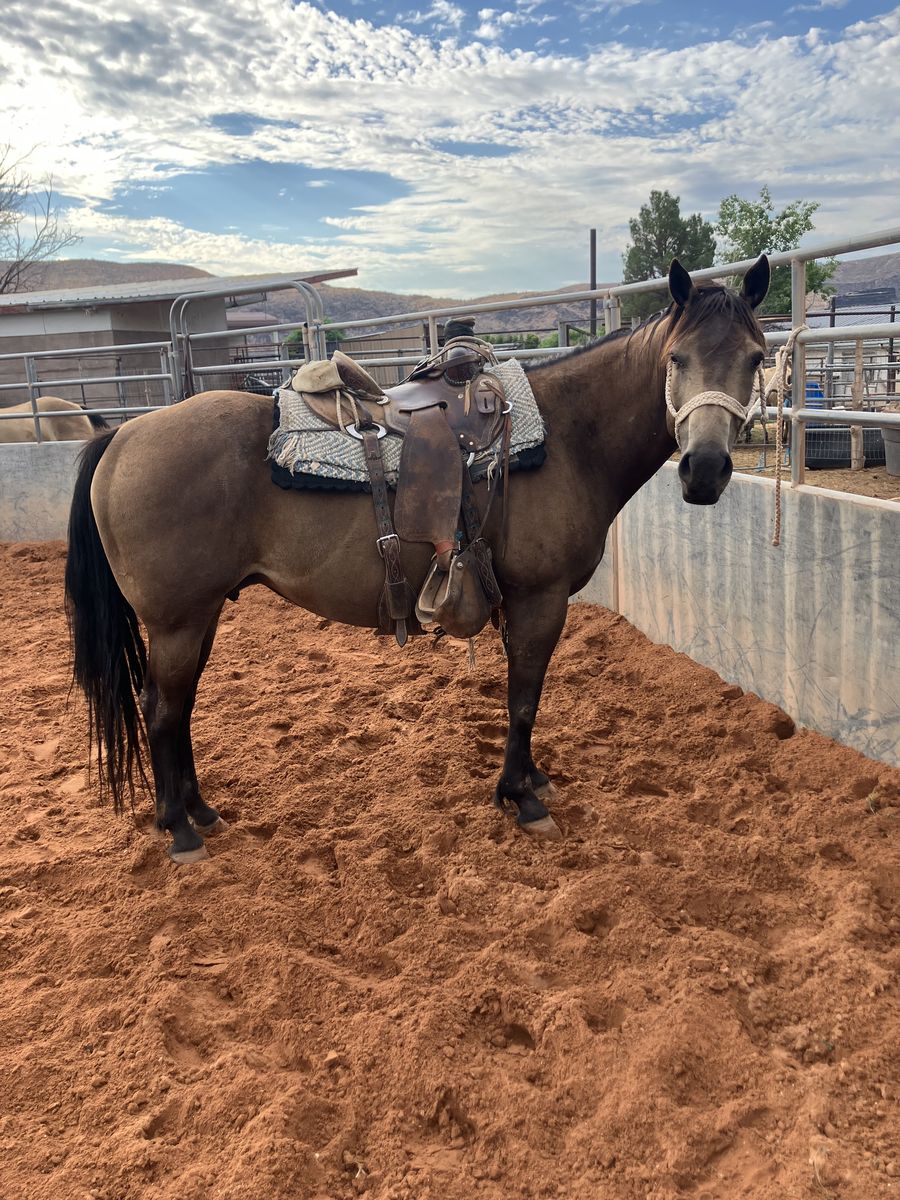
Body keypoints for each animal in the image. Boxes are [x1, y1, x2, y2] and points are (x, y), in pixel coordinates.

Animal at [64, 256, 770, 864]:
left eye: (756, 357)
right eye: (676, 358)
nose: (705, 470)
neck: (569, 437)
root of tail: (122, 436)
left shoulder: (520, 602)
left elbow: (524, 693)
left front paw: (531, 778)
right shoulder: (540, 599)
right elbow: (523, 698)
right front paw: (522, 798)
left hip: (200, 615)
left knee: (176, 706)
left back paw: (199, 813)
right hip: (179, 621)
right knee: (161, 710)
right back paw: (180, 830)